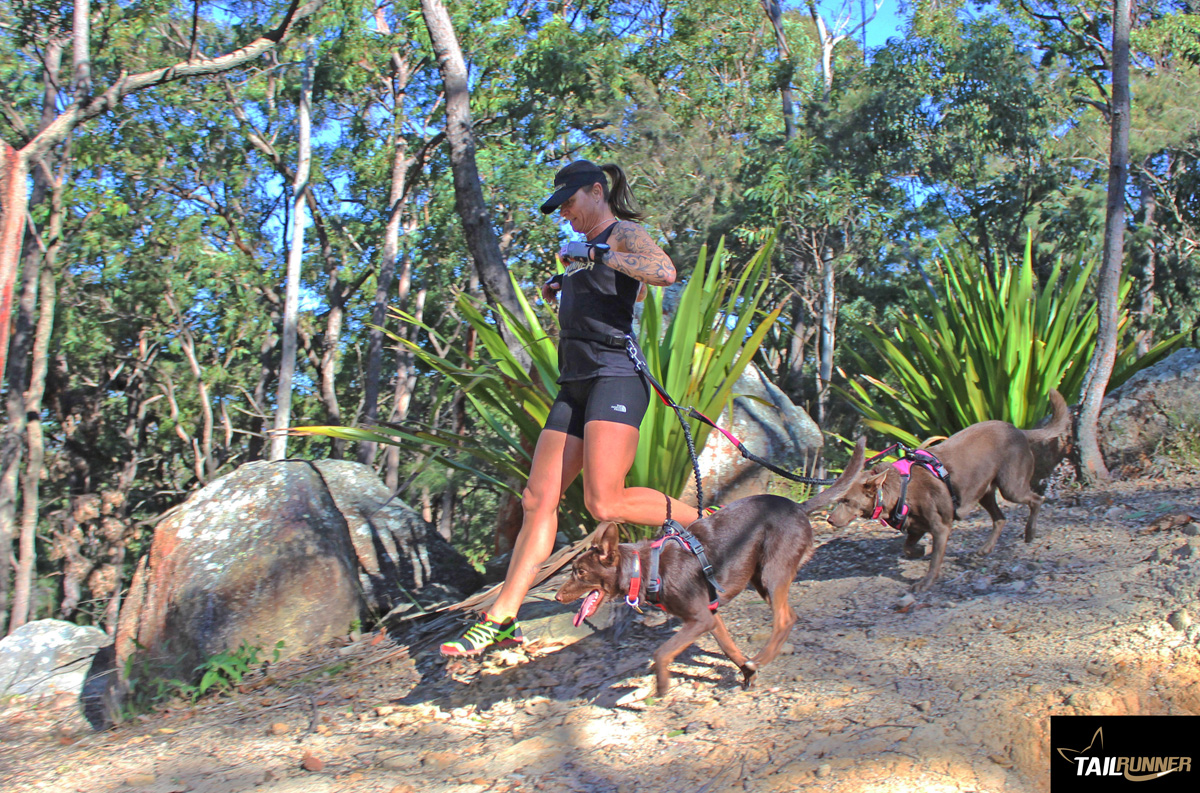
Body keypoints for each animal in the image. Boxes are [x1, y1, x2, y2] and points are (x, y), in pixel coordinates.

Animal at [554, 438, 866, 696]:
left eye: (580, 572)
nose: (557, 597)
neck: (644, 568)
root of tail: (799, 507)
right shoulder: (710, 618)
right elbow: (730, 649)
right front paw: (746, 671)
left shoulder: (699, 619)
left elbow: (662, 652)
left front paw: (662, 685)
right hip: (760, 579)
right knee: (790, 616)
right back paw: (756, 662)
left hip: (772, 574)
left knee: (785, 620)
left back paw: (761, 658)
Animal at [827, 389, 1073, 593]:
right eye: (838, 499)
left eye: (847, 501)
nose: (829, 519)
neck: (899, 488)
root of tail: (1019, 430)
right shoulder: (915, 527)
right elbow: (908, 547)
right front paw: (921, 551)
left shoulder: (940, 527)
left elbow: (935, 560)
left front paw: (925, 582)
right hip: (984, 492)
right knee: (1000, 518)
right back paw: (985, 549)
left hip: (1011, 486)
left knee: (1037, 499)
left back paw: (1030, 533)